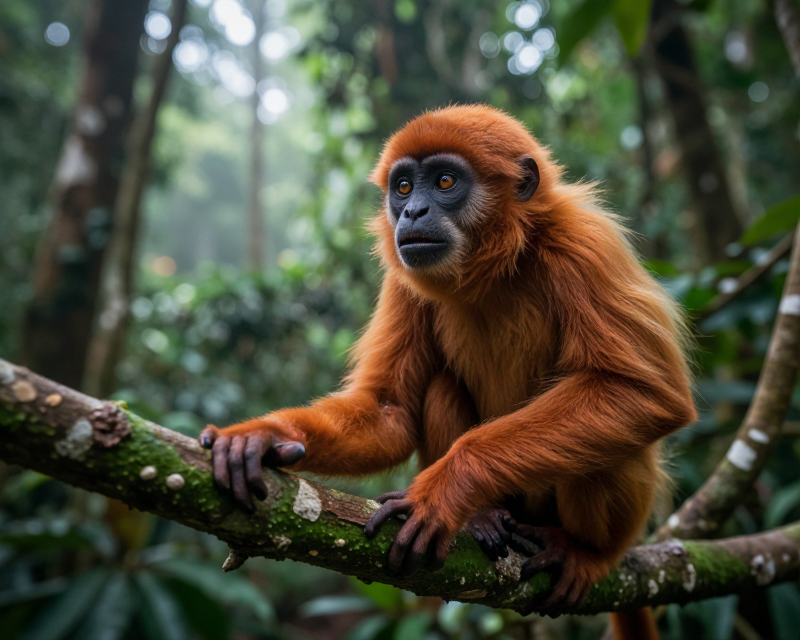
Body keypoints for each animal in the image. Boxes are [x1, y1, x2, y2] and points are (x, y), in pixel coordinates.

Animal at [199, 105, 696, 636]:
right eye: (402, 188)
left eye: (443, 181)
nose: (412, 212)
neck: (497, 267)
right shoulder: (404, 277)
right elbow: (389, 410)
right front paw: (262, 436)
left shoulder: (586, 245)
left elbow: (645, 394)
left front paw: (445, 489)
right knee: (441, 387)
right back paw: (481, 518)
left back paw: (586, 551)